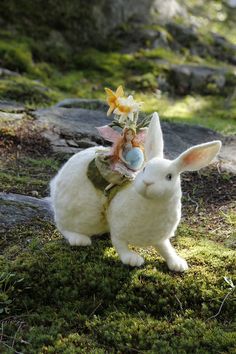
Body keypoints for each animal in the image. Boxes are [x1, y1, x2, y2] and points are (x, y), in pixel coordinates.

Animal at [50, 113, 221, 272]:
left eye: (169, 176)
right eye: (145, 169)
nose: (147, 183)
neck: (150, 202)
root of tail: (56, 184)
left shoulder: (159, 237)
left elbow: (166, 249)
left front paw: (178, 264)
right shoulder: (118, 228)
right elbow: (120, 244)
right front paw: (132, 259)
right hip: (81, 215)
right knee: (63, 226)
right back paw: (79, 239)